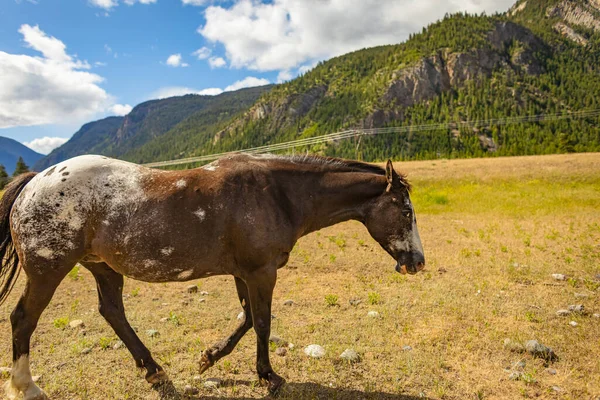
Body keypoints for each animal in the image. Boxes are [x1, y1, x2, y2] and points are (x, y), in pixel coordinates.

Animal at [0, 154, 424, 400]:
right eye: (406, 211)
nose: (417, 262)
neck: (278, 194)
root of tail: (34, 181)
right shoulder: (261, 272)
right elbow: (263, 322)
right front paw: (269, 376)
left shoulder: (244, 273)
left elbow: (247, 319)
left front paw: (209, 358)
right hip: (48, 271)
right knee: (23, 320)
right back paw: (27, 386)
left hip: (102, 268)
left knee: (112, 312)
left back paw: (155, 372)